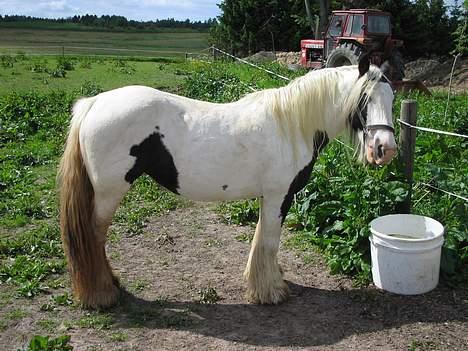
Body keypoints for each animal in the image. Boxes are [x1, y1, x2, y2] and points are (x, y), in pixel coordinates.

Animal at [57, 55, 394, 308]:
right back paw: (103, 294)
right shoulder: (279, 195)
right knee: (94, 237)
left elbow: (260, 238)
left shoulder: (268, 197)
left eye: (392, 98)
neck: (292, 126)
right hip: (109, 192)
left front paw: (260, 284)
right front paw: (272, 292)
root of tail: (94, 103)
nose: (385, 149)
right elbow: (270, 241)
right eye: (365, 99)